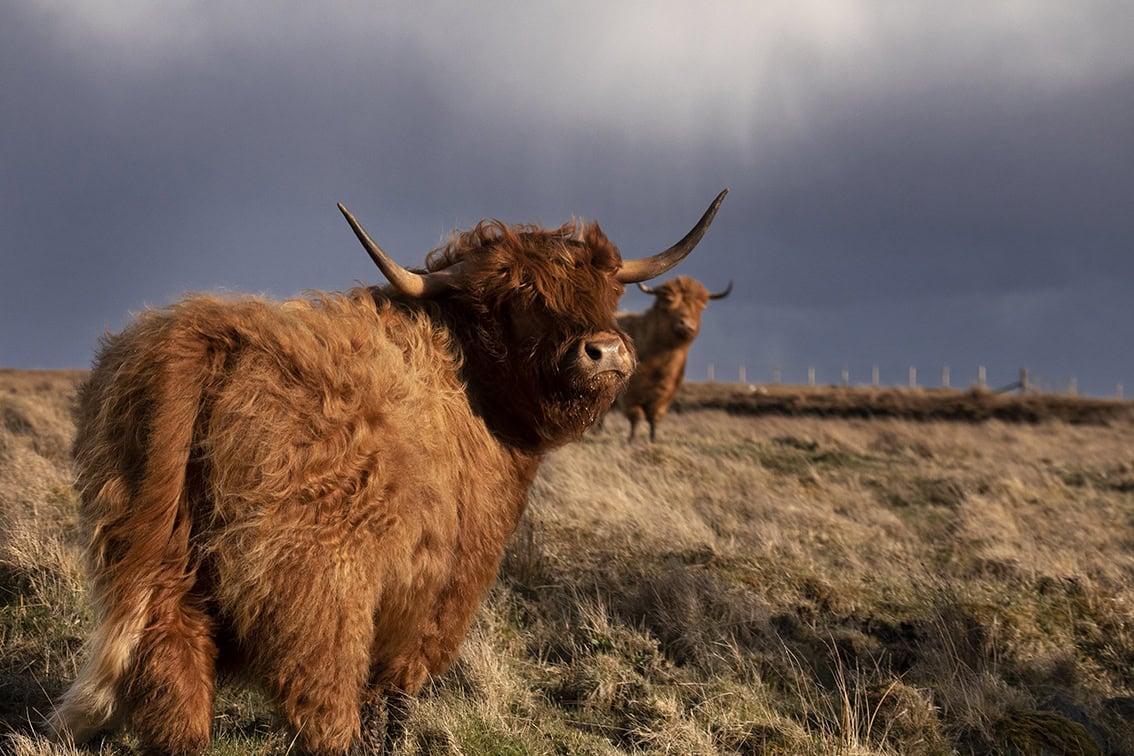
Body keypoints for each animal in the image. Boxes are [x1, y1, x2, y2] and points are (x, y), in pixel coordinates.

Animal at [46, 190, 725, 756]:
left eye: (605, 290)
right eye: (521, 297)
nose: (606, 352)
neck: (472, 382)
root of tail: (211, 331)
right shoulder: (442, 584)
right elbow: (395, 692)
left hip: (155, 556)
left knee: (174, 679)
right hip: (319, 588)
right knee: (320, 701)